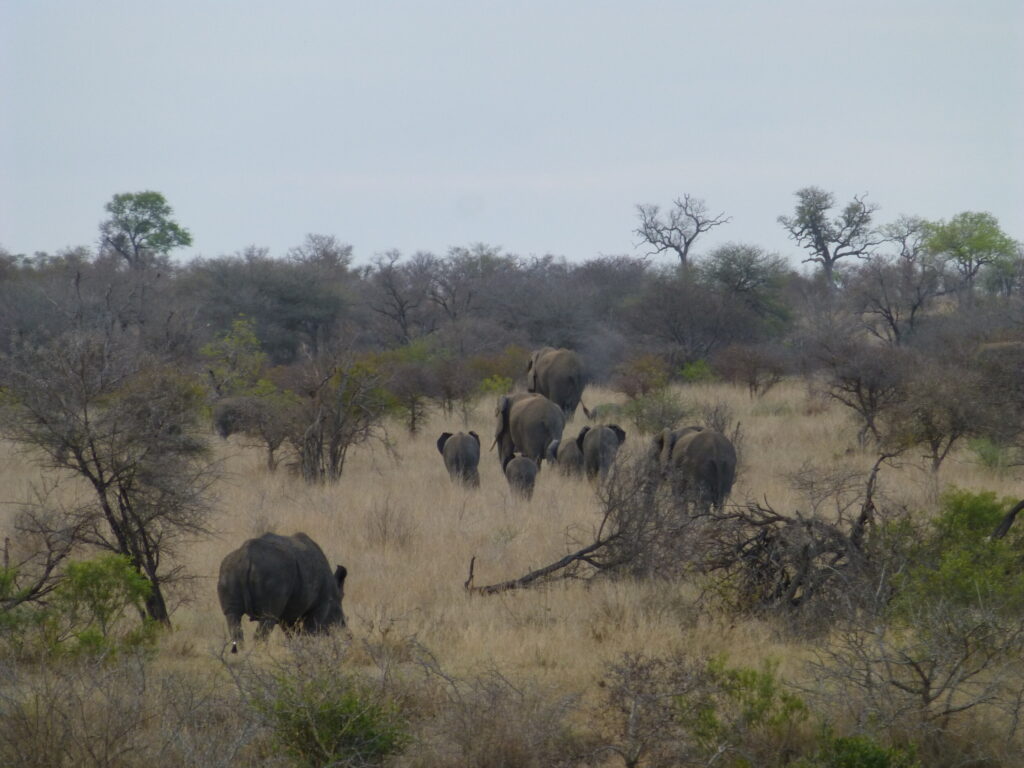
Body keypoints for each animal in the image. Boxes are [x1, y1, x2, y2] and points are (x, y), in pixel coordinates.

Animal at [217, 536, 348, 655]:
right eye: (341, 619)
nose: (346, 634)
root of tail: (245, 558)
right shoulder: (321, 606)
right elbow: (309, 633)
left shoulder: (288, 615)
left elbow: (293, 634)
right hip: (271, 575)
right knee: (267, 620)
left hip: (228, 570)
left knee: (233, 617)